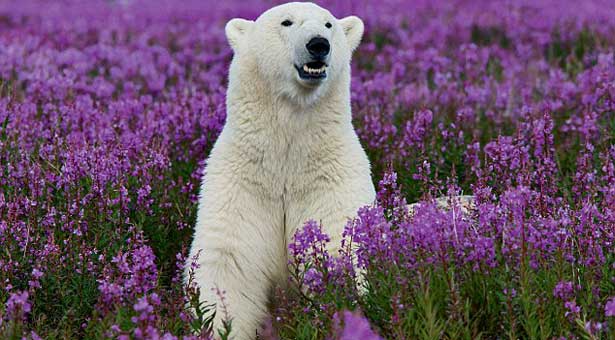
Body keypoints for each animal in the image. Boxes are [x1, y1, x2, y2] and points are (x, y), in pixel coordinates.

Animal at [185, 1, 372, 338]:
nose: (318, 44)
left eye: (328, 24)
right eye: (287, 22)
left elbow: (338, 247)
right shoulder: (244, 182)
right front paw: (218, 326)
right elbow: (230, 263)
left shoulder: (330, 176)